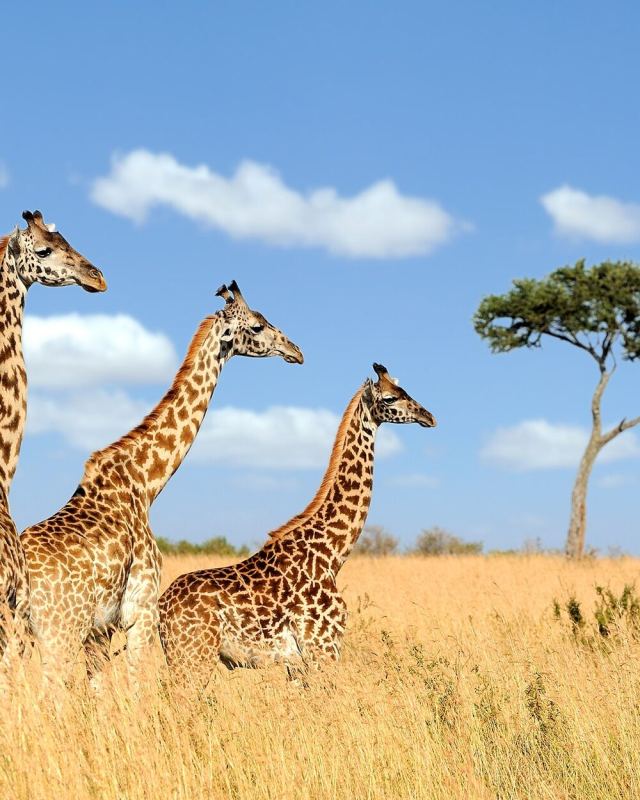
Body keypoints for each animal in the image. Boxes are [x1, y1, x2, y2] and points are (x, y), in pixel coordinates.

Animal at [21, 281, 302, 687]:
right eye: (258, 325)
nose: (296, 351)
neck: (145, 482)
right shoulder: (140, 612)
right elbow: (137, 687)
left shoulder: (100, 631)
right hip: (58, 630)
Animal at [158, 363, 436, 686]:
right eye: (391, 398)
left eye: (406, 390)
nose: (428, 416)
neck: (332, 553)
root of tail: (160, 608)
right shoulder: (322, 647)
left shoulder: (298, 663)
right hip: (194, 656)